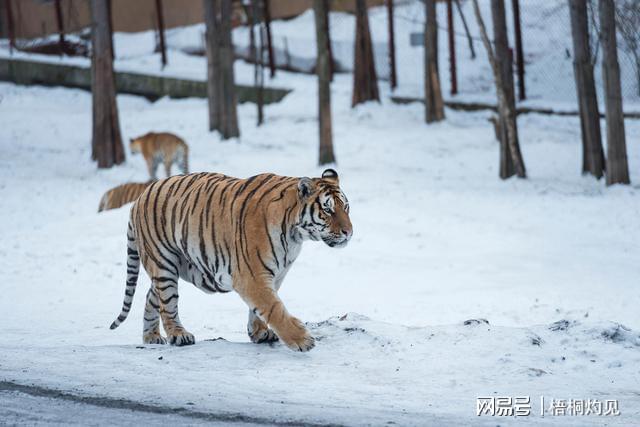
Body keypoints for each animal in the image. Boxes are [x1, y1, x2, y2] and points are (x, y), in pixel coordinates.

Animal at [109, 169, 350, 352]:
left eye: (345, 207)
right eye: (328, 209)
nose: (349, 232)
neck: (294, 234)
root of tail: (141, 196)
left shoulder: (275, 274)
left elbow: (261, 308)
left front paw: (259, 333)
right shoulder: (252, 276)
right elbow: (273, 307)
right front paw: (302, 339)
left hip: (177, 264)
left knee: (152, 296)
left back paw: (151, 337)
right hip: (163, 261)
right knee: (167, 303)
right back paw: (178, 335)